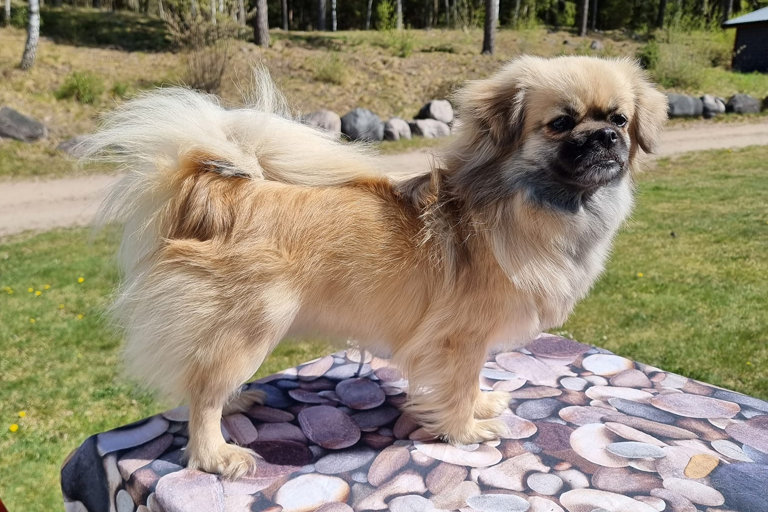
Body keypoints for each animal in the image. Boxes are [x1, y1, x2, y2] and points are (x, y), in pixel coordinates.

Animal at [85, 54, 664, 478]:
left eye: (619, 119)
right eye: (561, 124)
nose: (605, 137)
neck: (534, 205)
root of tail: (219, 193)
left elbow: (472, 384)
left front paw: (481, 408)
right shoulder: (459, 340)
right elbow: (458, 387)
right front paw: (466, 431)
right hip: (250, 325)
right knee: (202, 395)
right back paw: (216, 455)